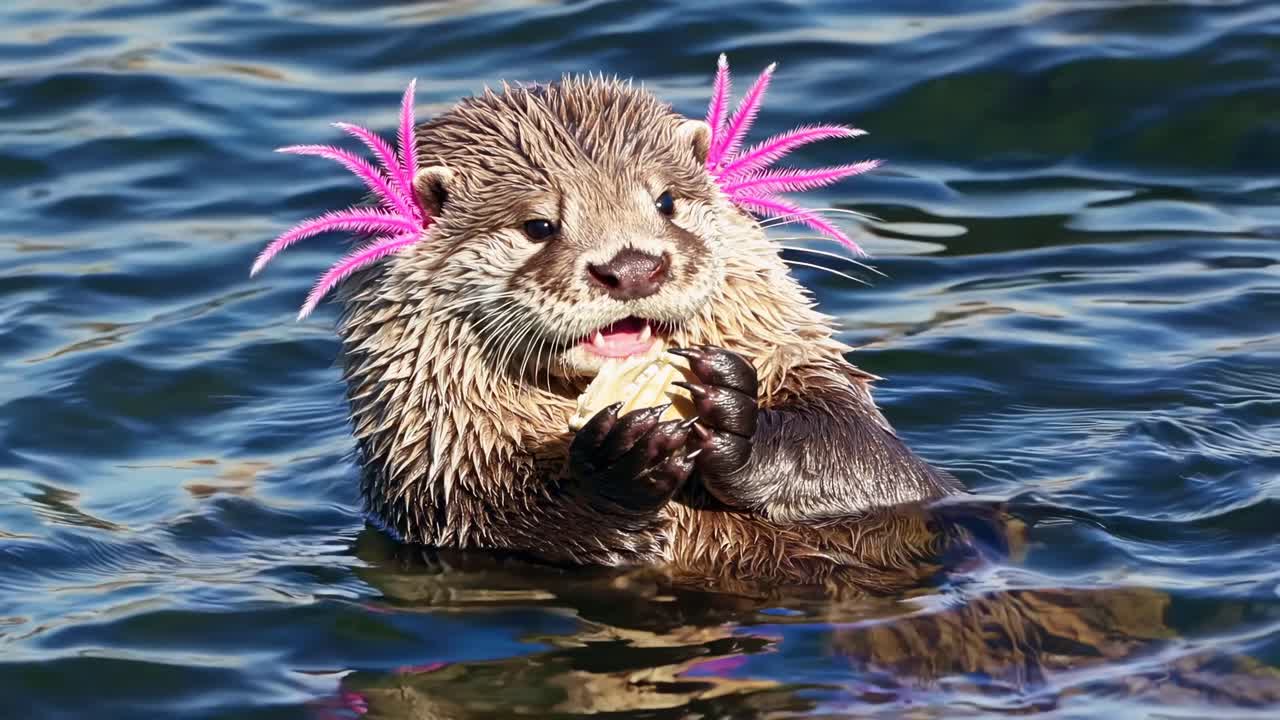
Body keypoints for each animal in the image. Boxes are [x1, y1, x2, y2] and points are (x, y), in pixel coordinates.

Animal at [258, 59, 966, 590]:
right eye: (539, 224)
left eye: (666, 201)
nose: (632, 265)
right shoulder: (442, 491)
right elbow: (523, 526)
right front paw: (617, 464)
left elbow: (869, 459)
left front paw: (735, 419)